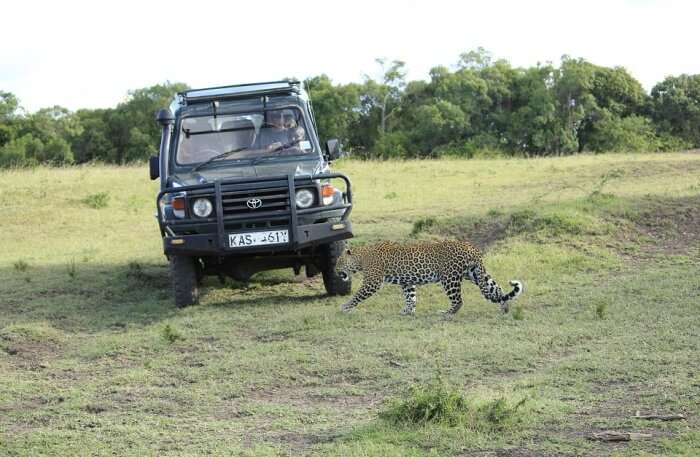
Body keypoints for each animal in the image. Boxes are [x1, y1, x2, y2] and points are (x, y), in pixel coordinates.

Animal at [336, 240, 524, 316]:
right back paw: (504, 308)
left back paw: (446, 313)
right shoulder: (407, 282)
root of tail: (472, 247)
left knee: (458, 301)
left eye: (339, 262)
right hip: (474, 274)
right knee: (497, 289)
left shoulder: (372, 282)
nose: (336, 271)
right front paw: (408, 311)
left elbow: (357, 296)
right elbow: (411, 297)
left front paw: (345, 307)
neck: (360, 258)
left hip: (449, 278)